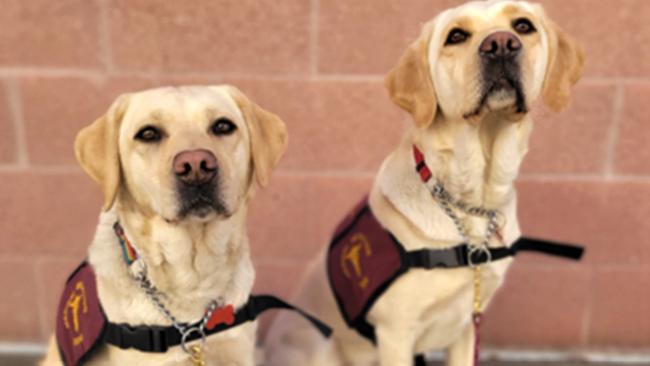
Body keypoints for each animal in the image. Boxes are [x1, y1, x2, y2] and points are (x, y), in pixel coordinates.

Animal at [264, 0, 584, 366]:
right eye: (455, 36)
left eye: (523, 25)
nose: (501, 44)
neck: (472, 201)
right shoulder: (396, 333)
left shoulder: (468, 324)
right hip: (323, 349)